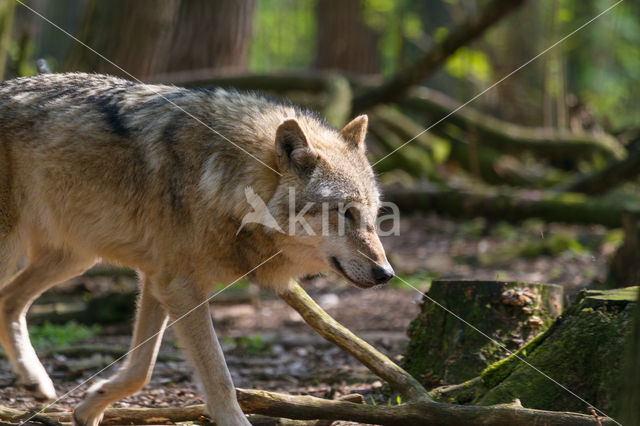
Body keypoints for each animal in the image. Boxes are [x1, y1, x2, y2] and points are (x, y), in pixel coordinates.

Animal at [0, 74, 396, 426]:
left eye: (375, 215)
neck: (221, 177)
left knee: (9, 300)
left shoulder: (158, 280)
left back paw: (35, 381)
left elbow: (141, 369)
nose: (387, 274)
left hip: (74, 259)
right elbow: (219, 378)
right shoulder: (180, 286)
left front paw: (89, 407)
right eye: (345, 212)